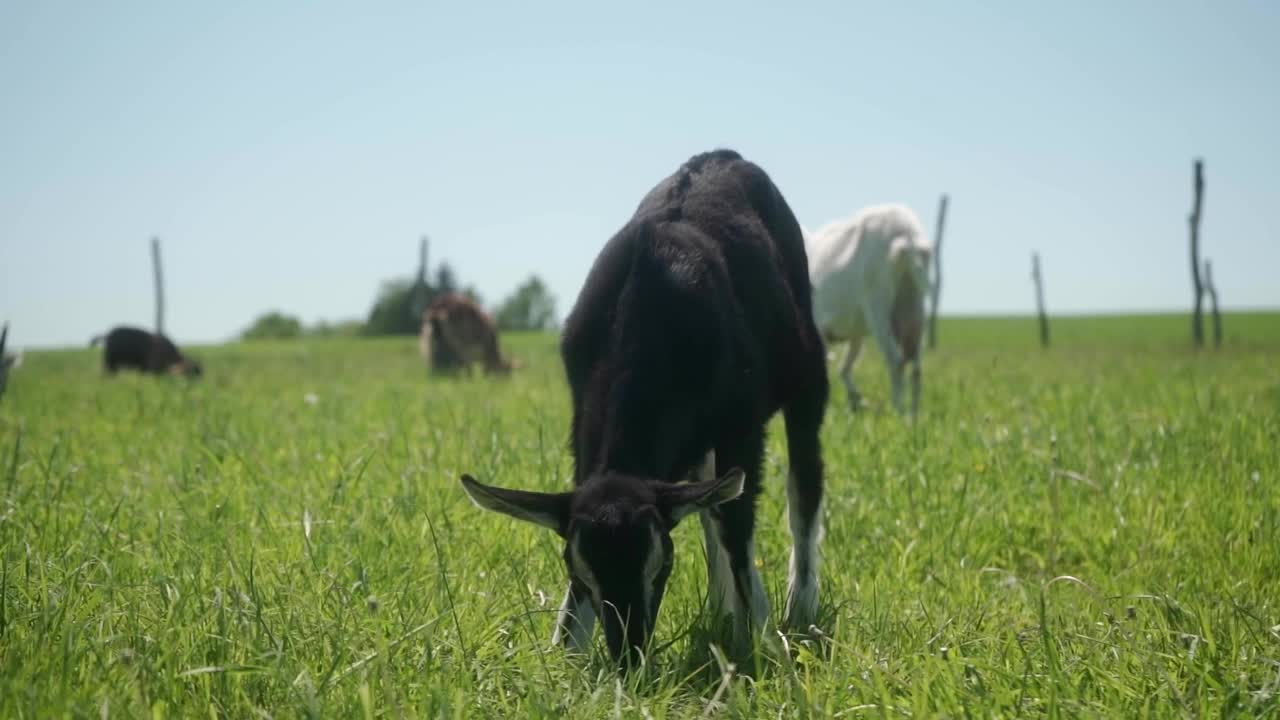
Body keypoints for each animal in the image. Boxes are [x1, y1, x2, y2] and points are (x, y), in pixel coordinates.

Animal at [460, 148, 829, 666]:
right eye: (578, 571)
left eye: (662, 564)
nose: (629, 656)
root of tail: (724, 154)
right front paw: (564, 656)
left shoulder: (741, 427)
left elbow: (737, 524)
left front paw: (763, 637)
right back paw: (724, 613)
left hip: (808, 379)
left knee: (802, 485)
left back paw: (800, 606)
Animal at [808, 204, 931, 412]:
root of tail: (906, 235)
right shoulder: (852, 332)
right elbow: (845, 367)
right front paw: (856, 402)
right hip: (914, 304)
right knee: (916, 364)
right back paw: (913, 415)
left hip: (878, 304)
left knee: (895, 359)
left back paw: (898, 411)